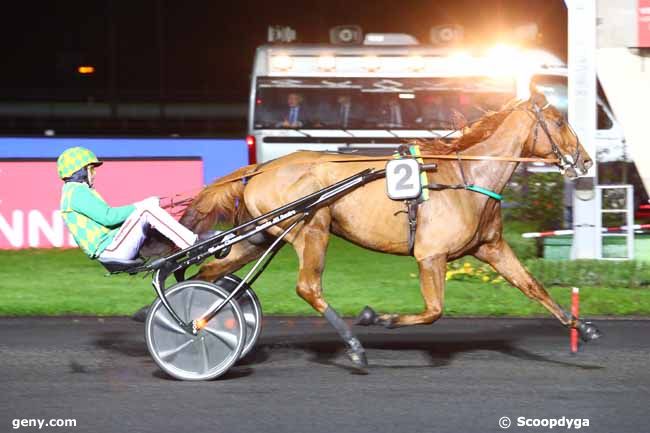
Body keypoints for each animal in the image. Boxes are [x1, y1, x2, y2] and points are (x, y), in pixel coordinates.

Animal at [173, 93, 596, 370]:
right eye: (560, 121)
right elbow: (434, 311)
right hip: (312, 228)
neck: (466, 176)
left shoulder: (491, 247)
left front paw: (583, 327)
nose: (586, 161)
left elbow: (533, 286)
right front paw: (378, 318)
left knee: (210, 272)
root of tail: (260, 168)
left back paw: (199, 318)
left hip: (260, 235)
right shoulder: (430, 256)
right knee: (307, 287)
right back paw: (354, 346)